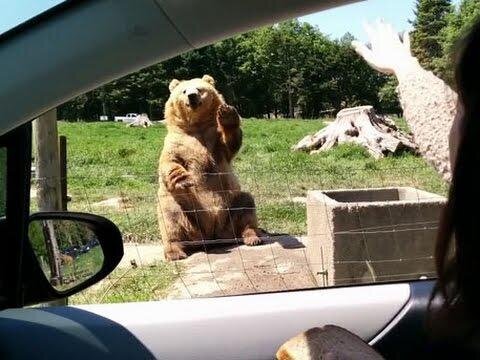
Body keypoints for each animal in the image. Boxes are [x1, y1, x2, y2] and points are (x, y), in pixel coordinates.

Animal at [157, 74, 262, 260]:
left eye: (200, 89)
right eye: (184, 90)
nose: (192, 96)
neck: (196, 126)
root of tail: (210, 237)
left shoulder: (215, 141)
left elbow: (230, 144)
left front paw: (227, 114)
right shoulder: (176, 143)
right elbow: (169, 163)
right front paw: (183, 179)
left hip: (230, 208)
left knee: (246, 205)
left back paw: (252, 236)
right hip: (186, 211)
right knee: (170, 217)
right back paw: (175, 251)